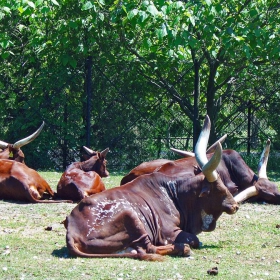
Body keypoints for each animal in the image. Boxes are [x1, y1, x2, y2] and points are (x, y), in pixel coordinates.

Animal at [64, 116, 256, 260]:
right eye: (218, 188)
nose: (235, 206)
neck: (175, 194)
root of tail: (71, 231)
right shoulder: (169, 232)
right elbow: (194, 239)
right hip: (131, 215)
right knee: (148, 249)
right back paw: (181, 248)